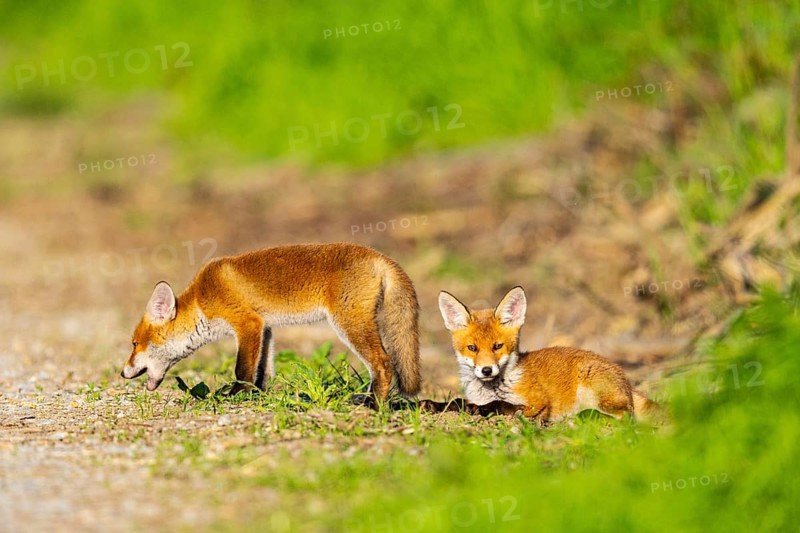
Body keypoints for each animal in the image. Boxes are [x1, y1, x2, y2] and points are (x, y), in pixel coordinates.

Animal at [121, 242, 421, 399]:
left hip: (349, 324)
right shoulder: (264, 327)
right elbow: (263, 370)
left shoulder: (247, 323)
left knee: (383, 364)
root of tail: (379, 256)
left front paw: (234, 395)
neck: (202, 299)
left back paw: (372, 404)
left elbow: (243, 370)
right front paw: (259, 396)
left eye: (134, 344)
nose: (122, 373)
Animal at [437, 286, 661, 424]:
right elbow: (464, 402)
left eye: (497, 346)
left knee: (625, 417)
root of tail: (626, 380)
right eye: (472, 348)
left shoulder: (538, 403)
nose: (486, 370)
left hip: (593, 387)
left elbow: (502, 405)